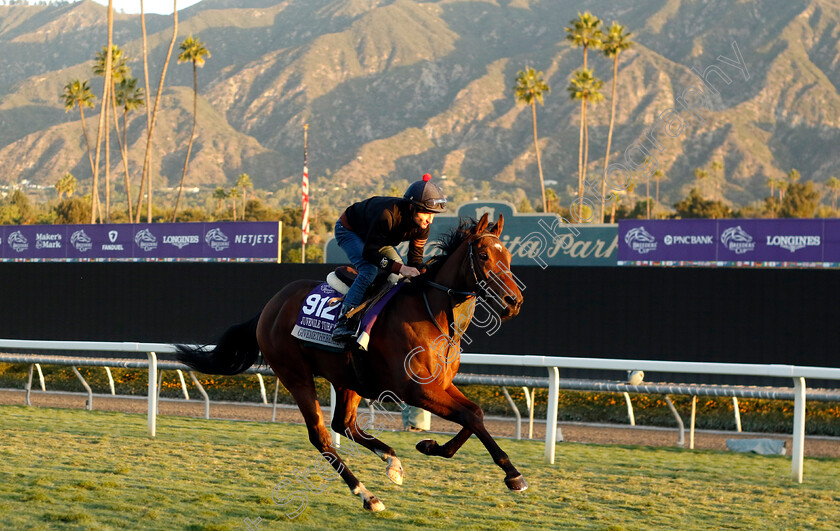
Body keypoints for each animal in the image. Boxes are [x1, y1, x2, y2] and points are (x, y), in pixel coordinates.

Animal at [176, 213, 524, 516]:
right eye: (483, 255)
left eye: (507, 255)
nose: (514, 302)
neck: (432, 315)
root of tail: (269, 307)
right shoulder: (415, 390)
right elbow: (471, 416)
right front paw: (513, 475)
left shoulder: (440, 385)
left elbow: (475, 414)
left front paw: (429, 445)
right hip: (295, 374)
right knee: (321, 435)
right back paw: (367, 495)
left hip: (347, 377)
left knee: (343, 424)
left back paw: (392, 462)